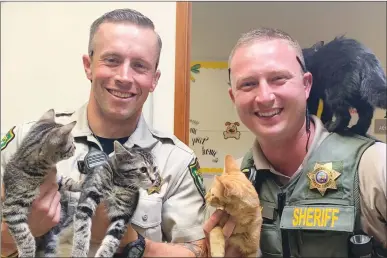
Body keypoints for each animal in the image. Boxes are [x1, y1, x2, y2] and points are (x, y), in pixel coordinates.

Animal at [2, 109, 82, 258]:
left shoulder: (56, 180)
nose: (75, 147)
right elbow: (24, 235)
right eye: (72, 143)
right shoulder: (12, 207)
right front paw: (27, 252)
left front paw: (81, 183)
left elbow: (67, 180)